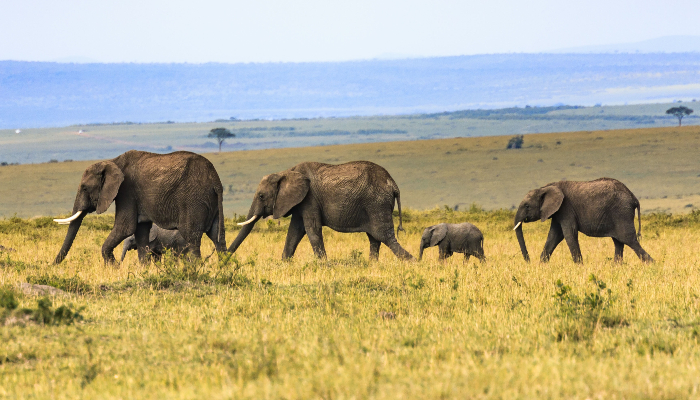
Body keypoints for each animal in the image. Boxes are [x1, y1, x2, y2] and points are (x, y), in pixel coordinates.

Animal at [53, 150, 226, 266]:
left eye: (84, 188)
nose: (52, 265)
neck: (113, 162)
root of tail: (215, 180)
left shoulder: (126, 191)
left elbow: (125, 227)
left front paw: (114, 268)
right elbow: (141, 231)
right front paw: (144, 269)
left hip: (193, 200)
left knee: (192, 236)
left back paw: (195, 270)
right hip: (211, 201)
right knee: (217, 236)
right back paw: (224, 269)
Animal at [230, 161, 412, 260]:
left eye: (261, 196)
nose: (225, 258)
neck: (286, 172)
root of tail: (393, 184)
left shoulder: (310, 199)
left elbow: (312, 230)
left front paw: (324, 265)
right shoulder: (301, 202)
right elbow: (294, 232)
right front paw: (284, 263)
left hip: (376, 203)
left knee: (384, 236)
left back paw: (413, 262)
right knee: (375, 238)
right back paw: (371, 265)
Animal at [512, 177, 652, 264]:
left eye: (527, 206)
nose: (528, 261)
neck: (545, 187)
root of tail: (634, 198)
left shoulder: (566, 208)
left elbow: (569, 234)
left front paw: (579, 266)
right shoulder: (558, 212)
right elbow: (554, 236)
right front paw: (541, 265)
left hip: (622, 213)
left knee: (629, 240)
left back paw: (652, 265)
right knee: (619, 242)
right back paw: (616, 267)